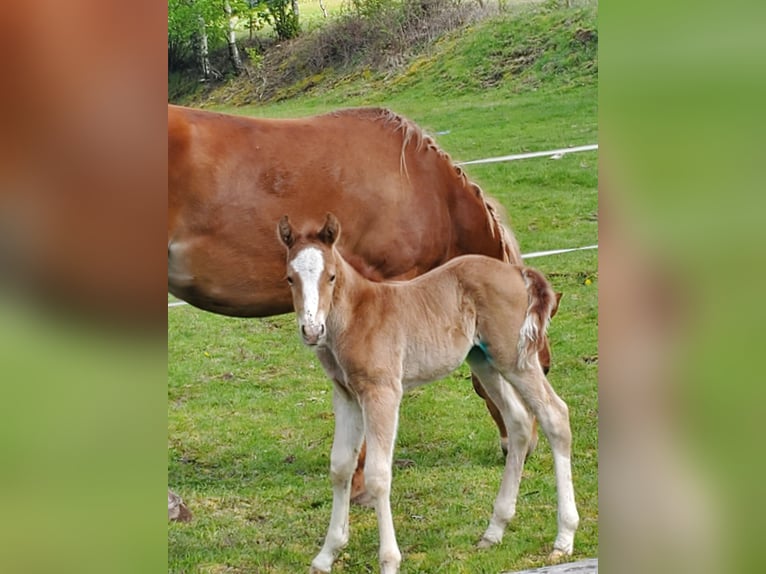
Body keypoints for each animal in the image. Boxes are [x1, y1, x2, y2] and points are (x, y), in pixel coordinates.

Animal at [280, 215, 580, 574]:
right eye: (290, 278)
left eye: (331, 276)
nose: (312, 331)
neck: (356, 315)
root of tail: (517, 272)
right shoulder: (347, 395)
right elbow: (340, 467)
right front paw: (327, 554)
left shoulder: (382, 392)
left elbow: (378, 475)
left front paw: (389, 560)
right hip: (483, 361)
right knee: (519, 422)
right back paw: (494, 530)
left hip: (515, 359)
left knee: (555, 415)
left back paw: (564, 538)